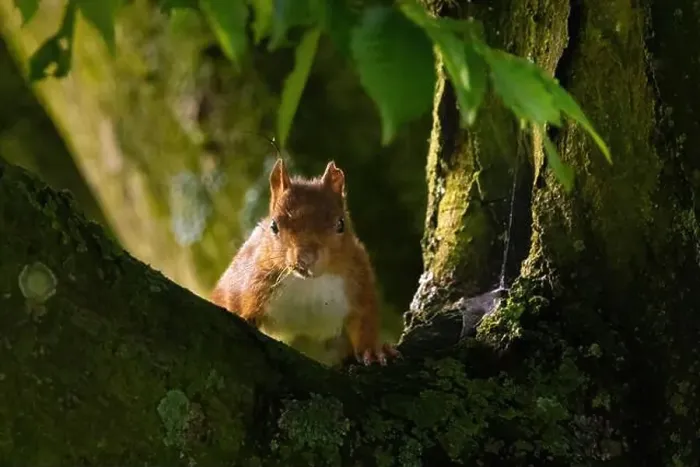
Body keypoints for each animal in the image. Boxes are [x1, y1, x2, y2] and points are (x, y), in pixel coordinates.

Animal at [211, 159, 400, 366]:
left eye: (341, 224)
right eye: (274, 226)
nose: (305, 258)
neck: (308, 284)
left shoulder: (359, 279)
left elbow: (365, 318)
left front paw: (373, 350)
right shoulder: (251, 280)